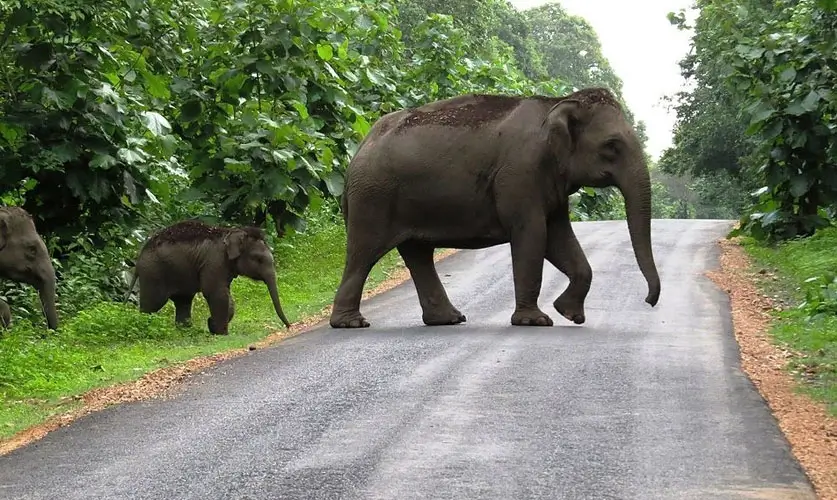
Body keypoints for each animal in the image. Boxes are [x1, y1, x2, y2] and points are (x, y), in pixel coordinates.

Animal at [125, 219, 292, 334]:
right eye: (258, 259)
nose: (289, 326)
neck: (229, 232)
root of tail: (138, 258)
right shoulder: (214, 261)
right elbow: (216, 292)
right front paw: (221, 333)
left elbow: (226, 295)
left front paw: (212, 326)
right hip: (153, 273)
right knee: (152, 304)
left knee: (183, 301)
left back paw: (186, 331)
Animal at [329, 87, 660, 329]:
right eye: (612, 146)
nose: (648, 301)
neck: (558, 102)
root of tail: (360, 146)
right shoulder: (520, 174)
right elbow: (532, 235)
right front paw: (535, 321)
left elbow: (559, 238)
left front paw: (569, 314)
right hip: (373, 197)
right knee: (363, 254)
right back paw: (351, 324)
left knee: (417, 254)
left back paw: (449, 319)